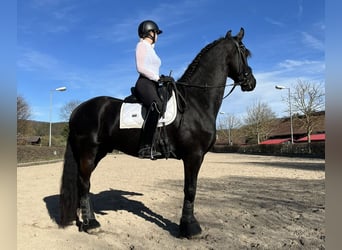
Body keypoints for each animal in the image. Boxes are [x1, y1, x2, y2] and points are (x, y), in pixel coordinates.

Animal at [59, 27, 256, 238]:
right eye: (244, 52)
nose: (251, 82)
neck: (196, 102)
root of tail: (77, 110)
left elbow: (190, 189)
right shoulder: (194, 155)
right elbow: (190, 189)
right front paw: (189, 227)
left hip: (98, 152)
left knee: (82, 183)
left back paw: (85, 220)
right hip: (89, 151)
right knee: (84, 183)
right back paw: (91, 224)